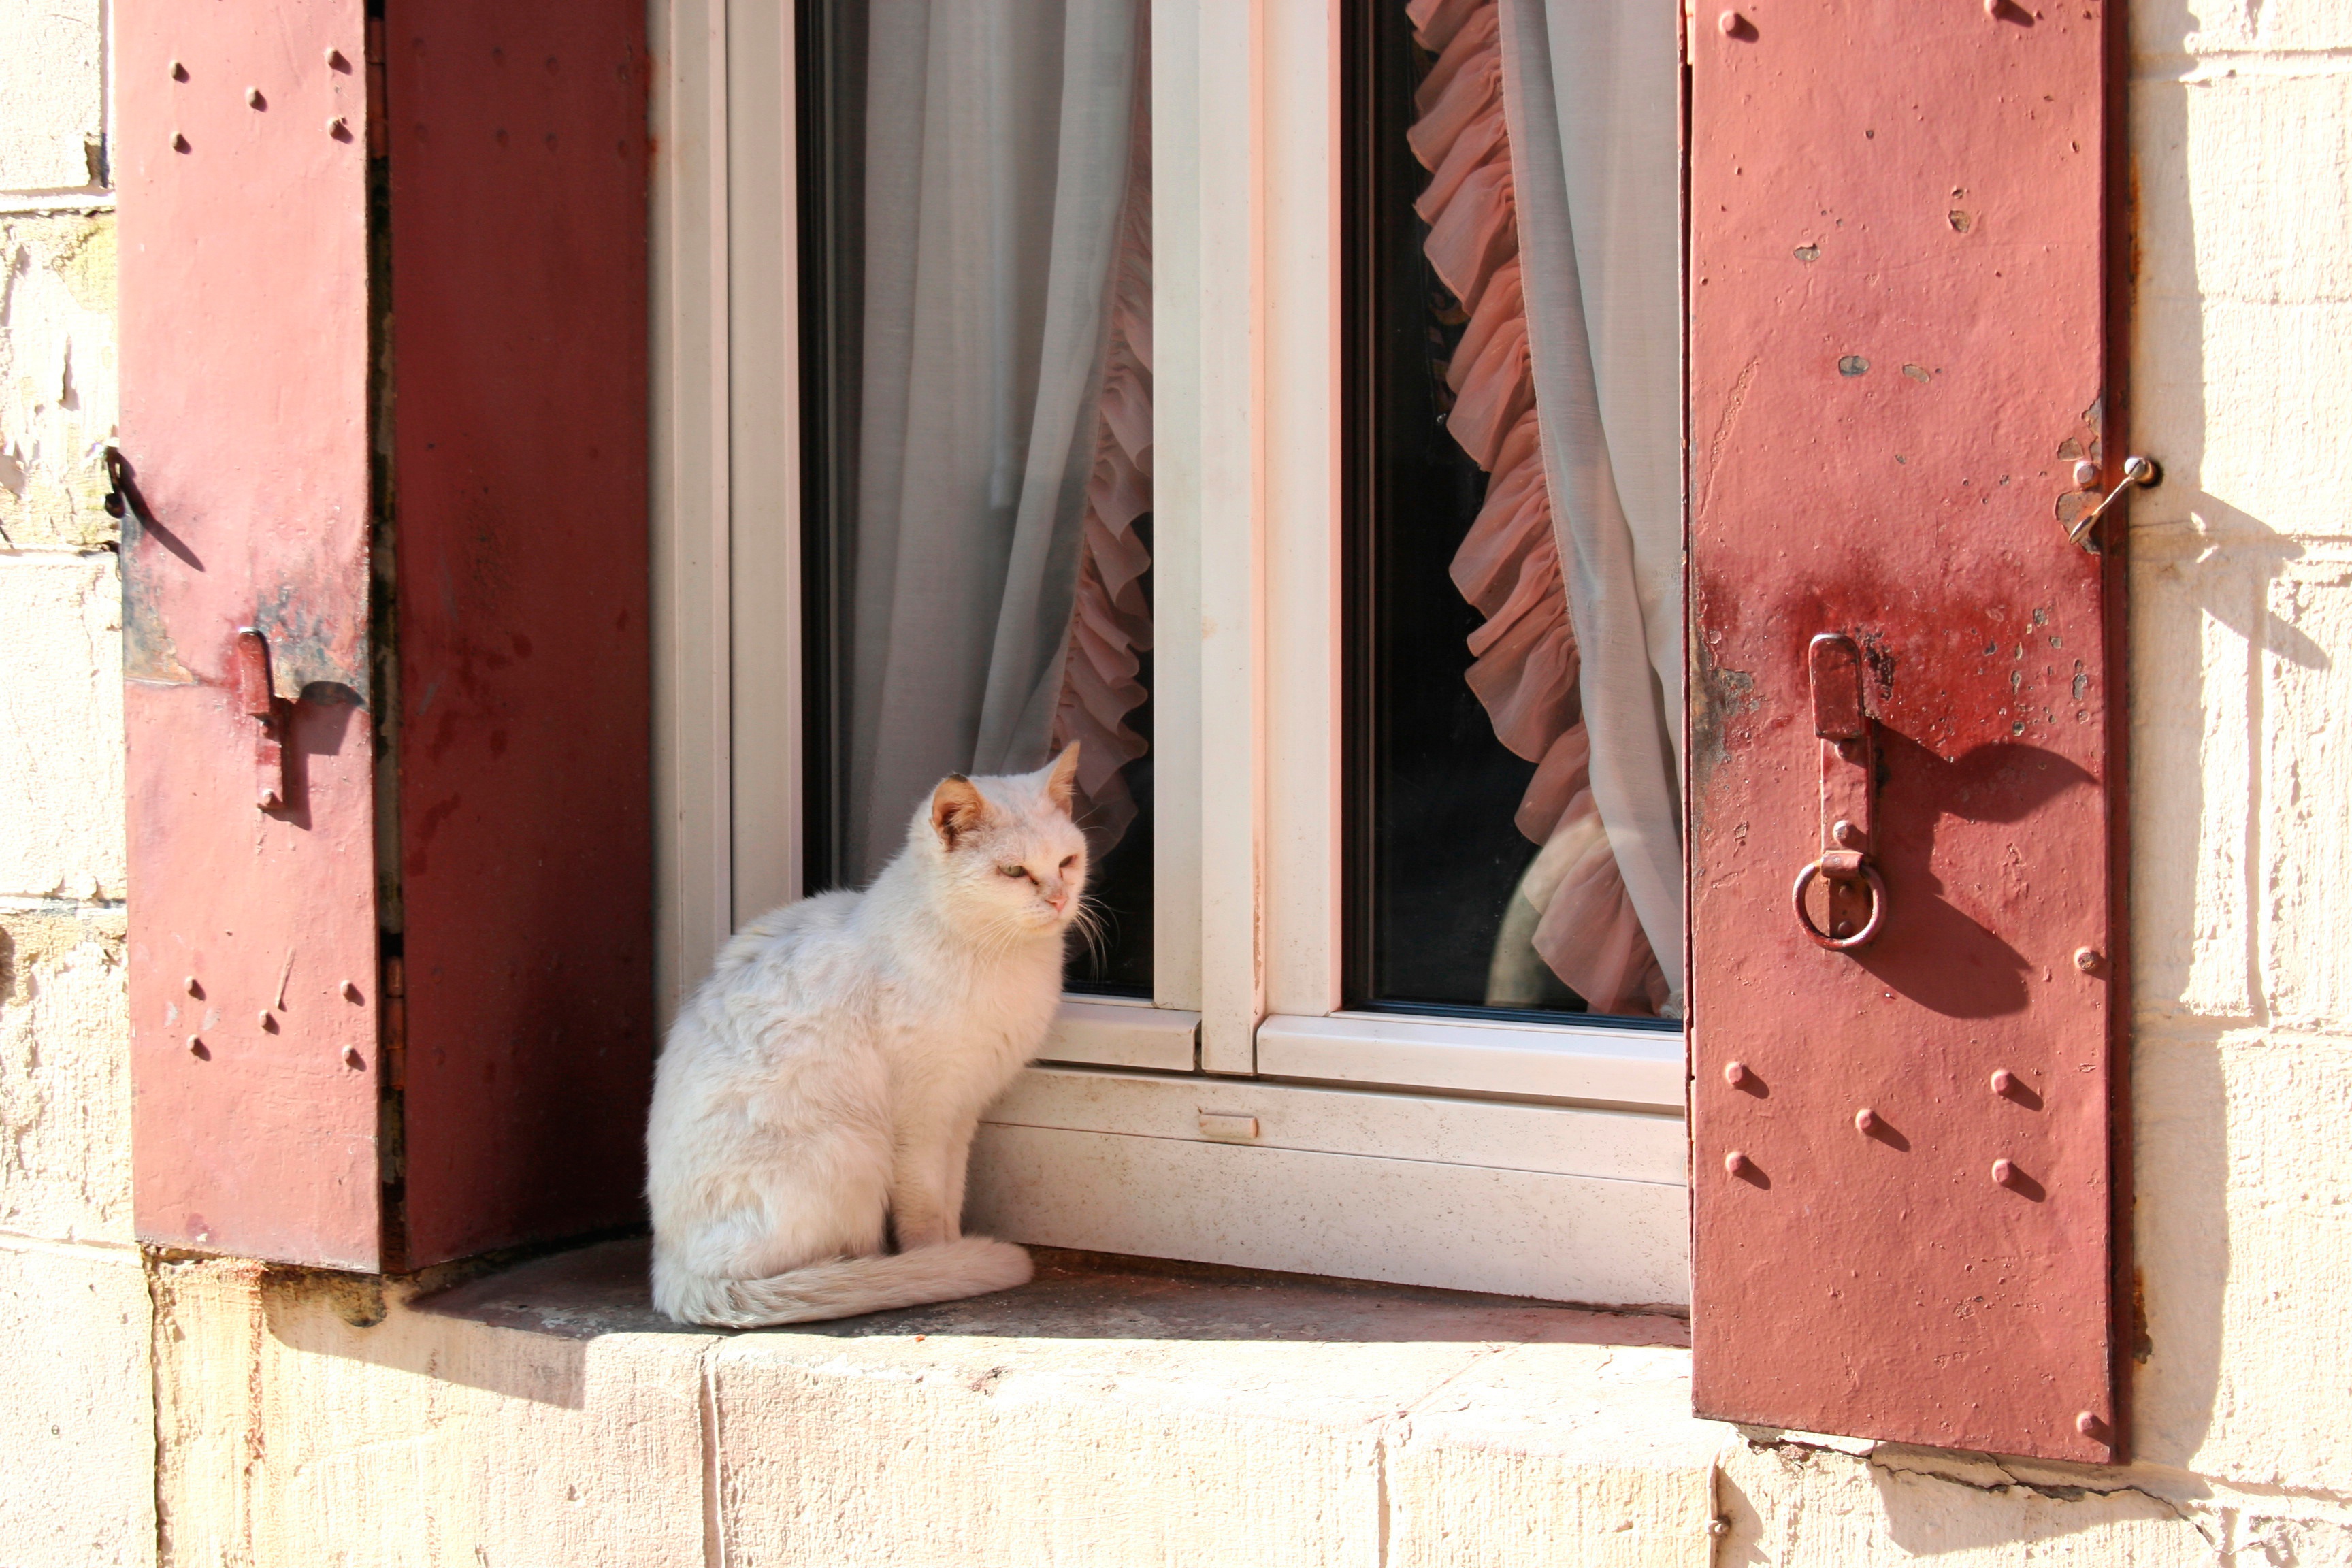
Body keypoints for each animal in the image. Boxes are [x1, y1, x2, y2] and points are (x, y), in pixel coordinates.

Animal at [640, 747, 1086, 1326]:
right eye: (1014, 871)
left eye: (1067, 862)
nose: (1058, 899)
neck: (998, 956)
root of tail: (670, 1272)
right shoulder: (921, 1120)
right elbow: (925, 1211)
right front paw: (938, 1262)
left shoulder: (961, 1112)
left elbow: (950, 1195)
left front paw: (951, 1251)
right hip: (851, 1150)